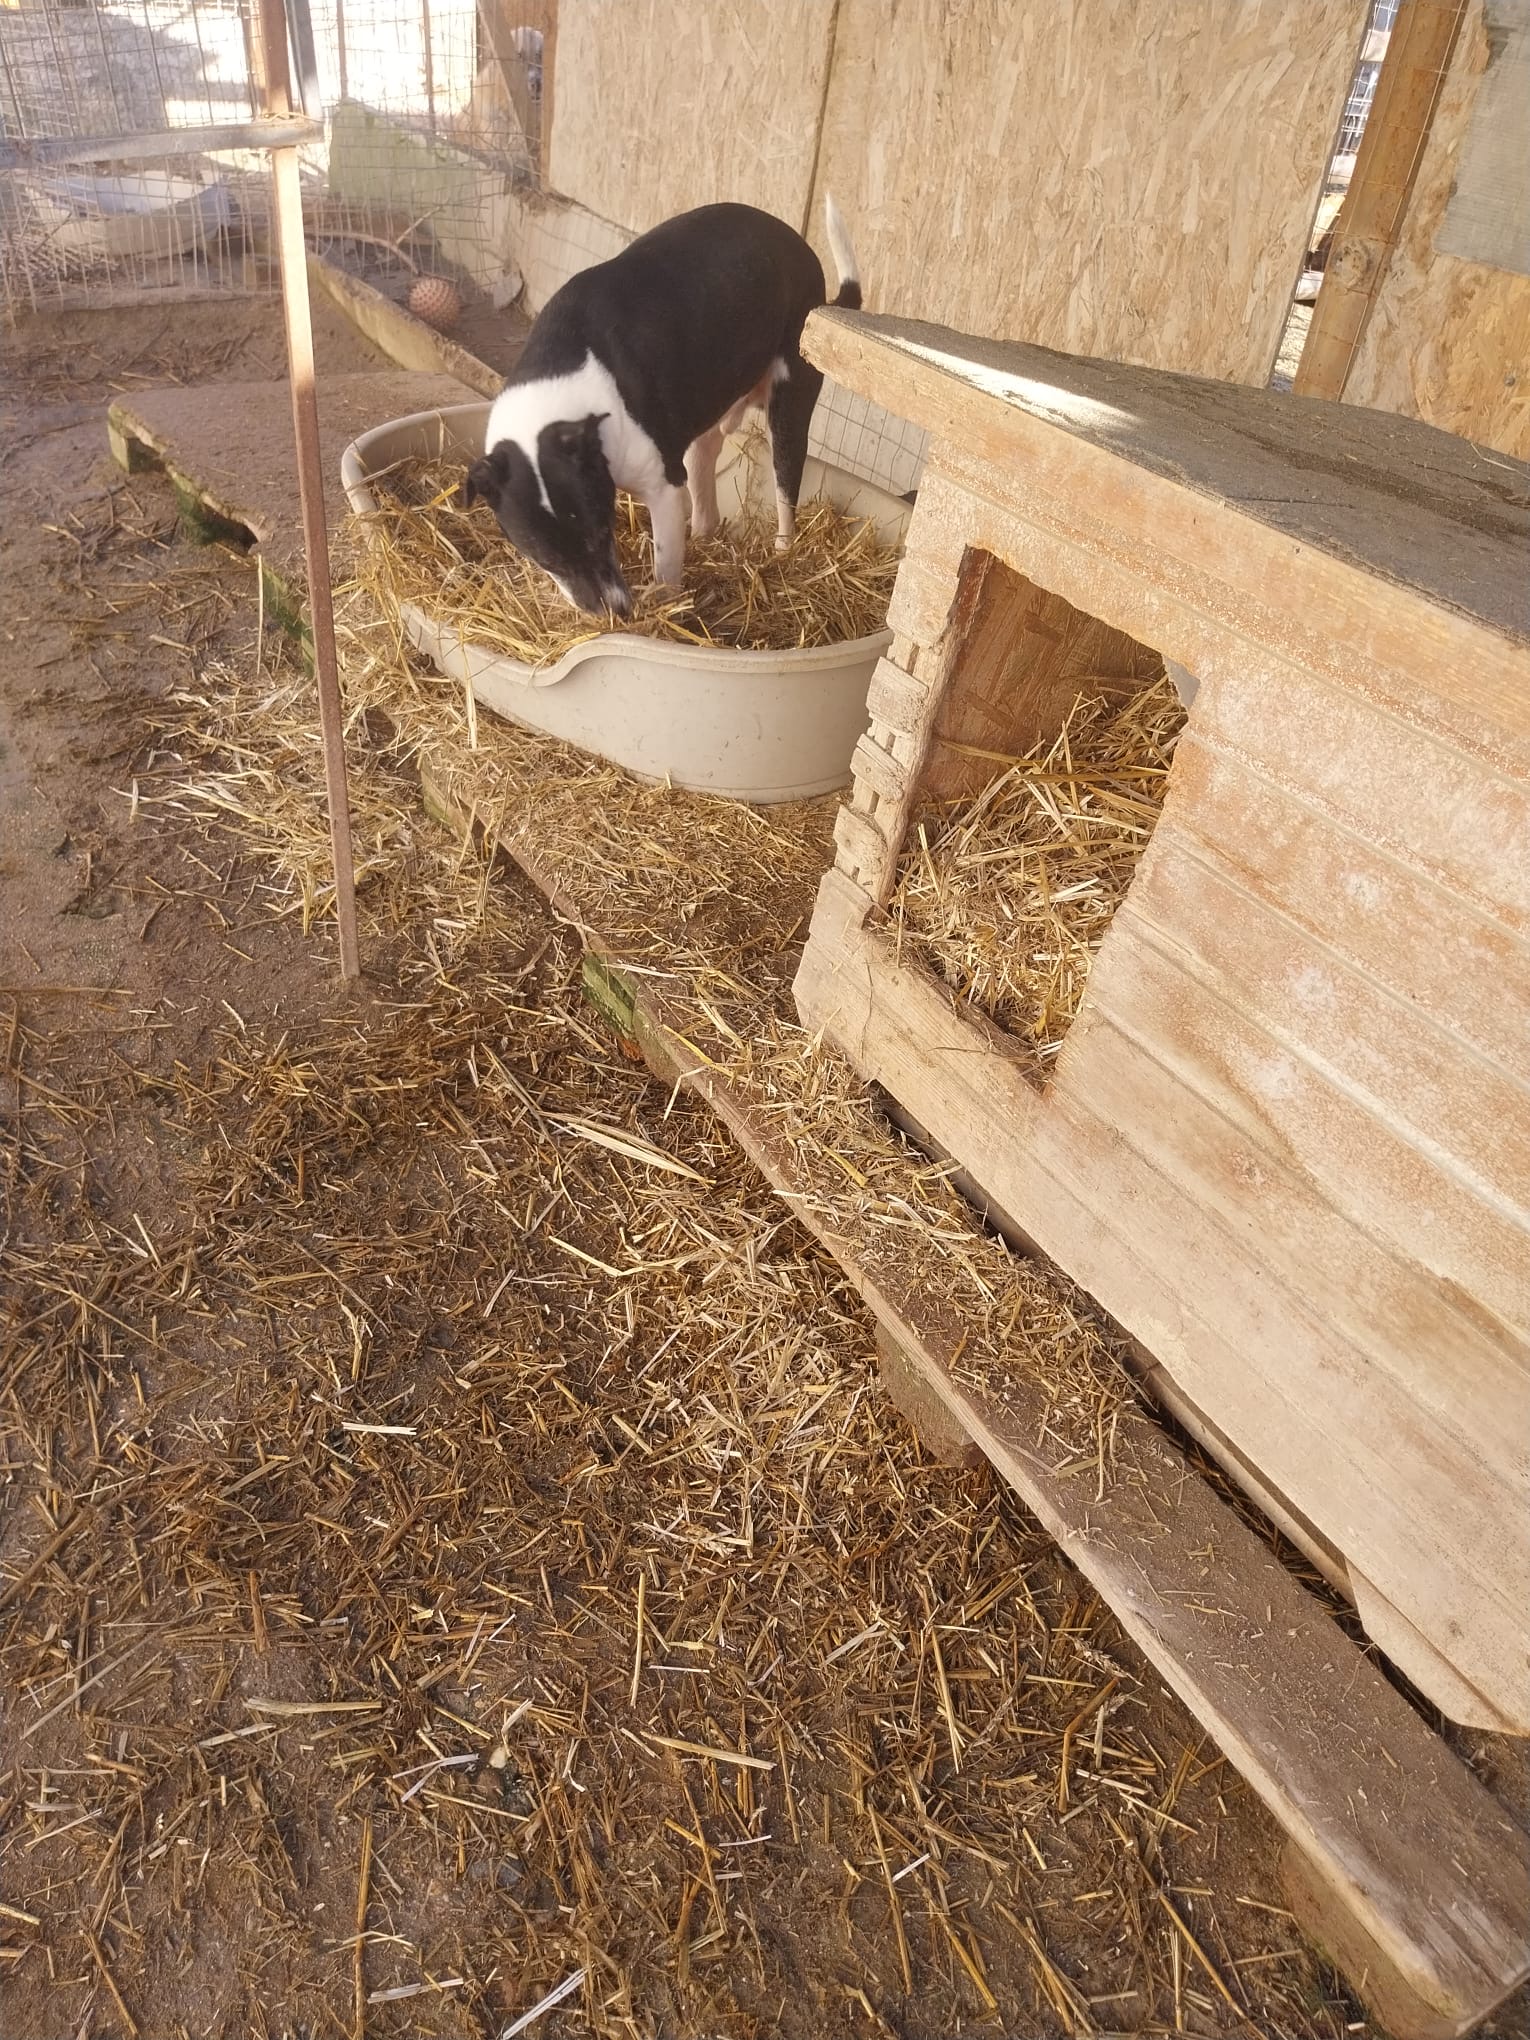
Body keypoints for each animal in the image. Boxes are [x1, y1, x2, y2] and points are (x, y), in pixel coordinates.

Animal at [463, 196, 862, 617]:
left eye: (603, 531)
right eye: (545, 558)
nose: (615, 612)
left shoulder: (664, 489)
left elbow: (667, 567)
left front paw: (664, 609)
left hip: (788, 411)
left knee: (785, 493)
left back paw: (783, 555)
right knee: (705, 483)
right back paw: (705, 539)